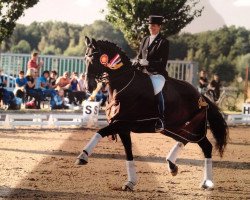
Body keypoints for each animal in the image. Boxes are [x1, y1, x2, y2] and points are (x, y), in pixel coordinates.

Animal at [75, 36, 229, 191]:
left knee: (206, 146)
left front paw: (83, 156)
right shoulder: (123, 128)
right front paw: (130, 182)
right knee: (184, 140)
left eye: (94, 58)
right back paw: (172, 165)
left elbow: (99, 132)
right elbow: (128, 153)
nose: (88, 87)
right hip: (175, 128)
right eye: (85, 58)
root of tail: (201, 96)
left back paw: (207, 182)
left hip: (194, 128)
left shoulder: (121, 123)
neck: (123, 83)